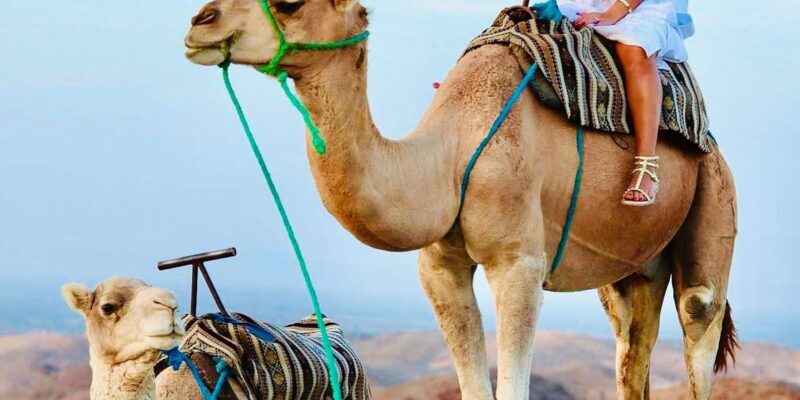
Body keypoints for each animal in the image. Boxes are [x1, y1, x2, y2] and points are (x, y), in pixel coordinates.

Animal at [182, 0, 737, 399]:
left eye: (289, 3)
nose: (199, 22)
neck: (448, 158)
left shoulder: (518, 264)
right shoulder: (439, 268)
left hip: (714, 189)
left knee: (697, 311)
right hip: (635, 266)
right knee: (631, 341)